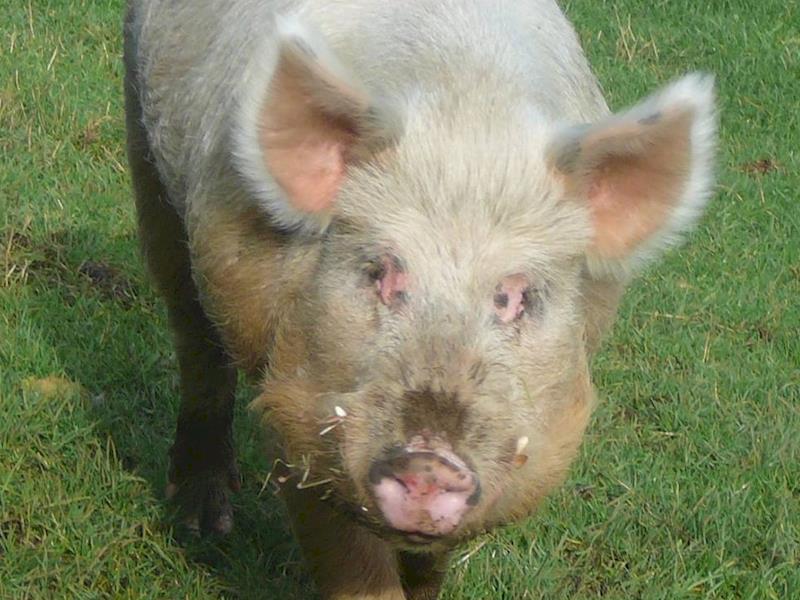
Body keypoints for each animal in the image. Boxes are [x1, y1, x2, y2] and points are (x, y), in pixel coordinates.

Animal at [123, 0, 717, 597]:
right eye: (381, 272)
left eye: (515, 297)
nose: (430, 463)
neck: (467, 112)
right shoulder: (295, 400)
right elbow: (351, 562)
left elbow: (431, 563)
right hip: (148, 156)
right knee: (194, 331)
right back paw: (204, 524)